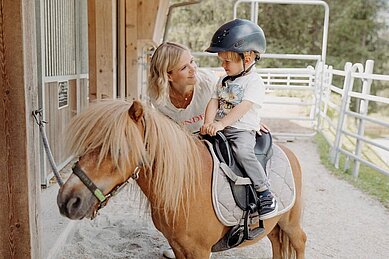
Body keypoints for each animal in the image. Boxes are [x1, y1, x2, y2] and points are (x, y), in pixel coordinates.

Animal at [57, 100, 306, 259]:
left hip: (290, 223)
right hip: (275, 225)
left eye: (118, 149)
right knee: (277, 244)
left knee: (300, 241)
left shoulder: (200, 251)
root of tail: (288, 152)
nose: (68, 201)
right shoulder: (178, 247)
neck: (188, 185)